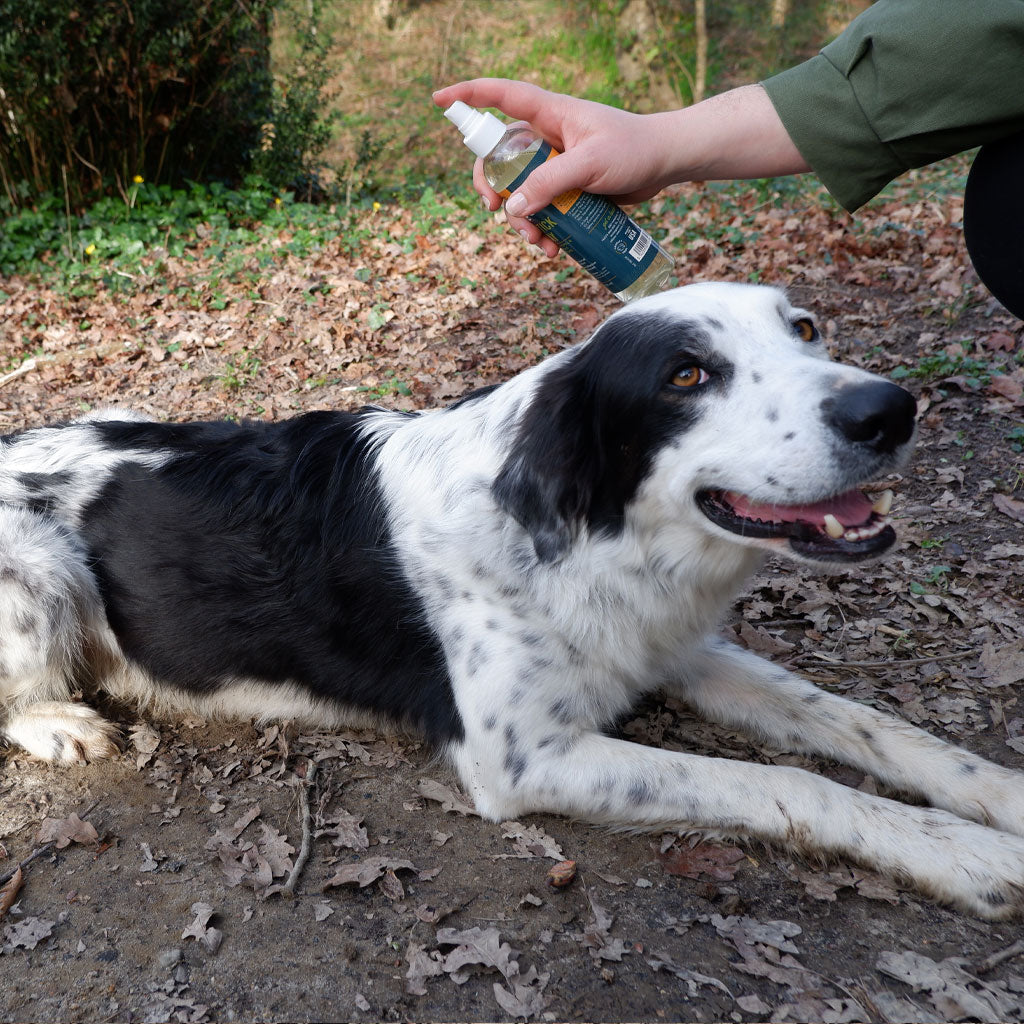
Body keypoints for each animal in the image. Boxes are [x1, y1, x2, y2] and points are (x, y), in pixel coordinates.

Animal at [2, 284, 1024, 917]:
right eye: (686, 375)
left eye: (806, 330)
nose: (888, 411)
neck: (588, 530)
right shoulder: (522, 757)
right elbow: (782, 780)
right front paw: (964, 853)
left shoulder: (678, 648)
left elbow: (861, 724)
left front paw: (999, 798)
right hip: (44, 572)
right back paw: (63, 726)